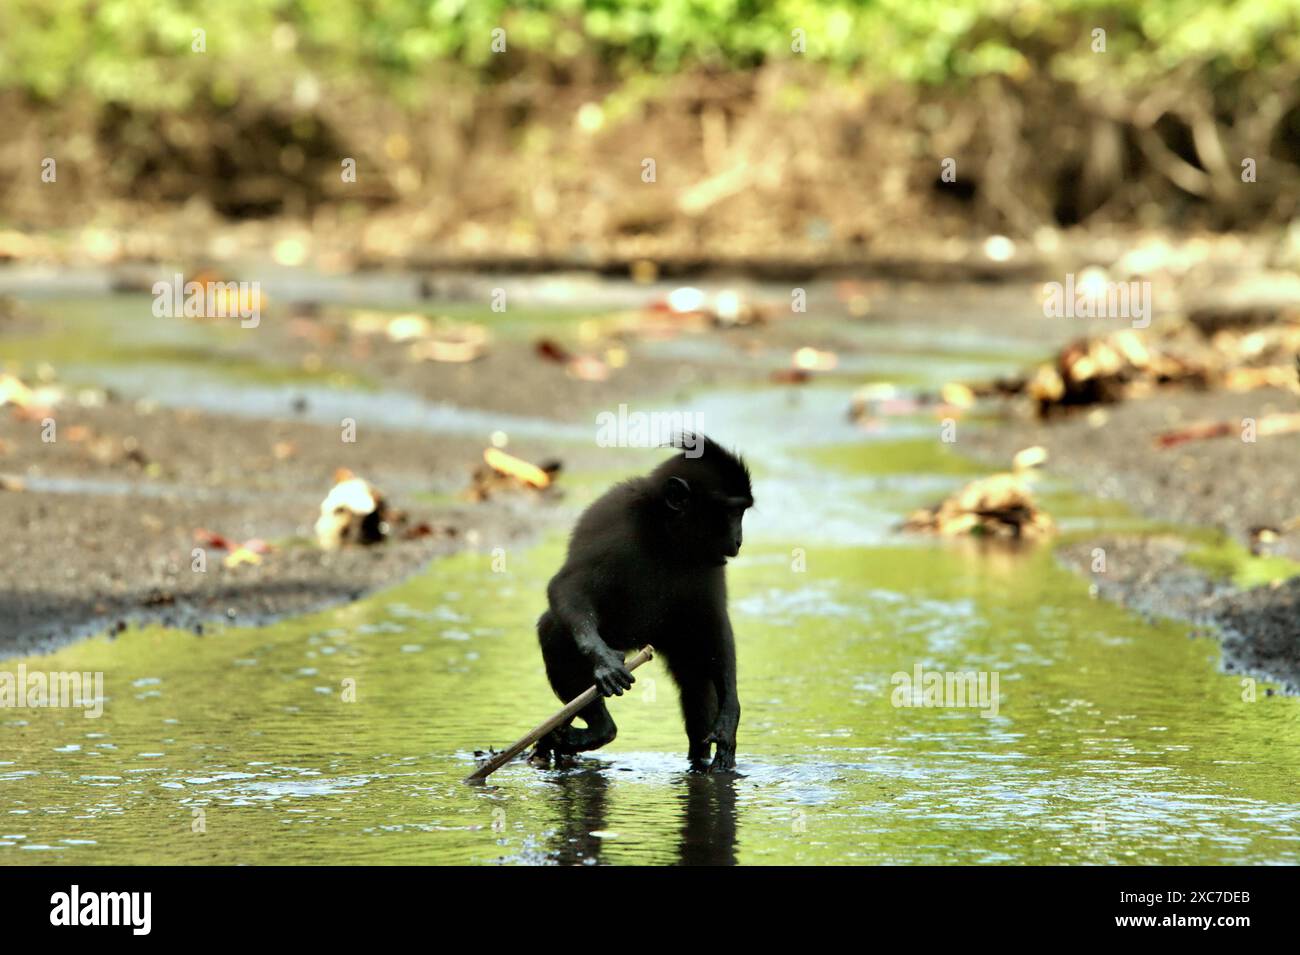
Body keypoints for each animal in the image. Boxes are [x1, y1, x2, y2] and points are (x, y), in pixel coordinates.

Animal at [532, 434, 752, 773]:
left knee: (696, 670)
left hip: (673, 635)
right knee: (554, 629)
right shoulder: (615, 521)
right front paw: (603, 660)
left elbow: (714, 624)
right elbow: (566, 586)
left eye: (741, 512)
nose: (739, 540)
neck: (666, 535)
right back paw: (600, 729)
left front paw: (730, 715)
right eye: (730, 512)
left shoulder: (711, 562)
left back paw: (701, 762)